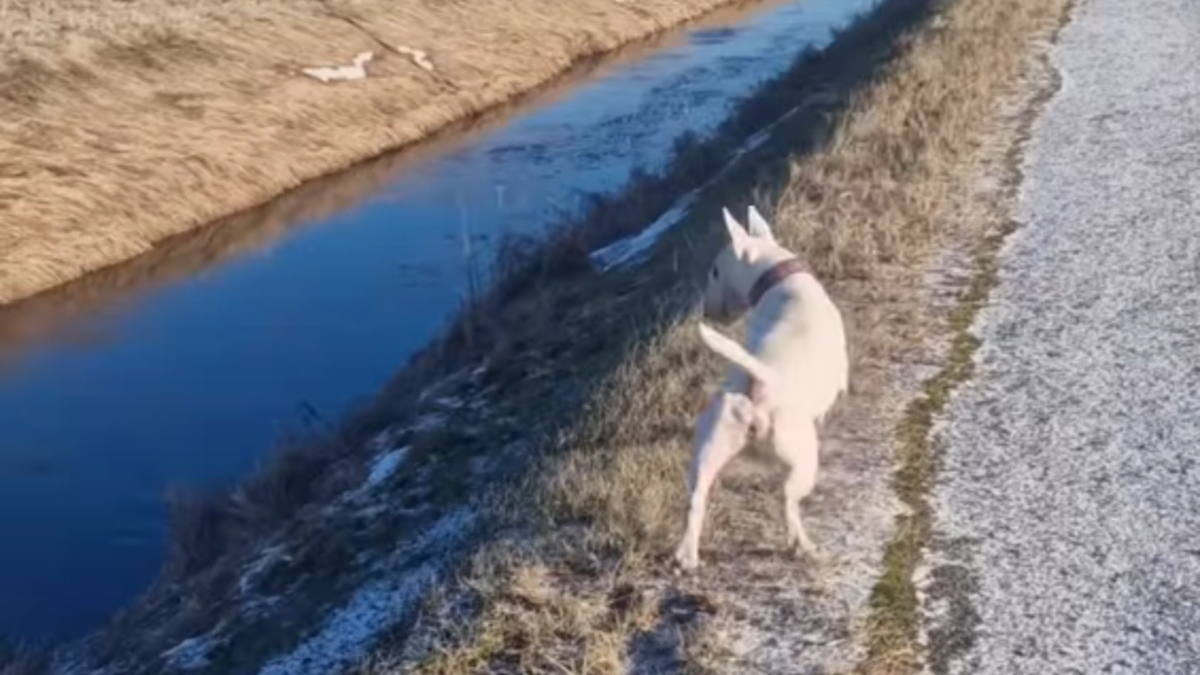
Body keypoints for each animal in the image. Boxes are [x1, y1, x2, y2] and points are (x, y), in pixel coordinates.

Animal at [672, 205, 849, 566]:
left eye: (714, 271)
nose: (706, 309)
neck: (779, 278)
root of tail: (759, 390)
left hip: (708, 448)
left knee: (696, 497)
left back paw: (687, 557)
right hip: (802, 460)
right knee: (788, 502)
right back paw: (803, 545)